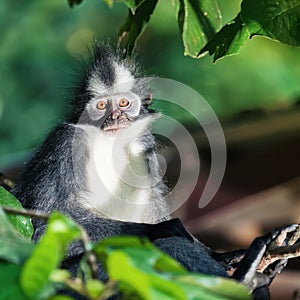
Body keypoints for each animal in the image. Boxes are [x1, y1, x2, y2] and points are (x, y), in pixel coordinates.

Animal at [11, 42, 292, 300]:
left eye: (124, 103)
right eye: (102, 106)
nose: (115, 118)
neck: (111, 142)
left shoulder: (146, 152)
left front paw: (224, 256)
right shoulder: (64, 143)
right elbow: (44, 228)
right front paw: (158, 230)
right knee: (166, 244)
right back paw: (244, 279)